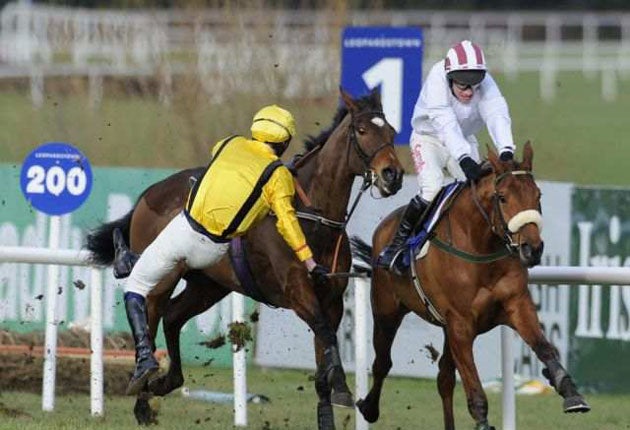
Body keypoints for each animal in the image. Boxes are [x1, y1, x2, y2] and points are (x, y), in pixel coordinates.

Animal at [350, 142, 590, 430]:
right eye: (502, 197)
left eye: (538, 195)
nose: (532, 249)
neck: (481, 246)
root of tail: (384, 226)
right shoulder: (461, 325)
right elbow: (475, 390)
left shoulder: (515, 306)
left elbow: (544, 347)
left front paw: (571, 392)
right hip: (387, 310)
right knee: (382, 362)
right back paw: (368, 407)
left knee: (443, 378)